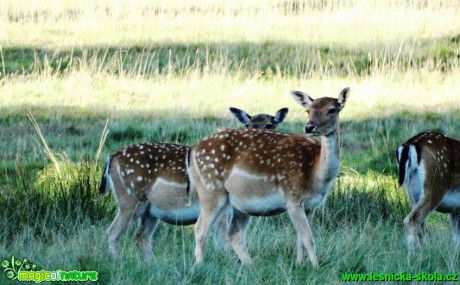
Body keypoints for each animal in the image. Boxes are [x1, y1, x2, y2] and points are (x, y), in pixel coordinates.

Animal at [99, 107, 290, 260]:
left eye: (270, 125)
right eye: (248, 125)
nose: (256, 138)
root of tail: (111, 158)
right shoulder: (224, 208)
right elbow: (222, 239)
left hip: (150, 210)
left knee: (140, 237)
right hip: (129, 198)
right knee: (113, 232)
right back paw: (117, 261)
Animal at [189, 87, 350, 266]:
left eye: (332, 110)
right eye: (308, 110)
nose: (309, 127)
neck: (316, 175)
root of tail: (194, 150)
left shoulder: (312, 205)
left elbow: (300, 240)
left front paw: (299, 264)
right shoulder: (292, 198)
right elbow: (308, 239)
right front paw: (315, 267)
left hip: (239, 202)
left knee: (234, 234)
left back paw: (250, 265)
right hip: (210, 189)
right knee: (200, 228)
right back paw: (200, 265)